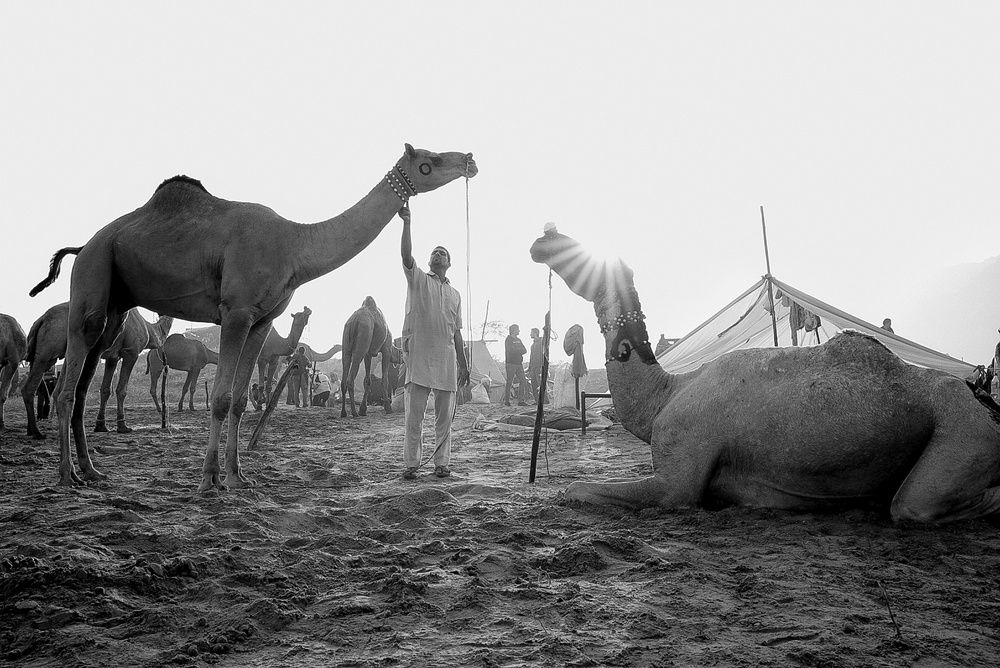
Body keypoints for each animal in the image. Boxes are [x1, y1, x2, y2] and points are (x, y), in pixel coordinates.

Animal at [30, 144, 476, 490]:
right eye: (431, 159)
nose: (470, 159)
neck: (293, 246)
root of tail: (82, 246)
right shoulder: (236, 312)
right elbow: (221, 398)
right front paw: (209, 479)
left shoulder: (261, 321)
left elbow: (243, 400)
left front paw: (238, 476)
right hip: (91, 279)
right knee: (67, 385)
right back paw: (67, 475)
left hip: (116, 308)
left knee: (84, 383)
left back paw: (92, 471)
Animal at [530, 227, 1000, 524]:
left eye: (575, 245)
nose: (542, 239)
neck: (665, 394)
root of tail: (983, 397)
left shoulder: (678, 472)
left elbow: (575, 490)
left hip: (965, 431)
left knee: (915, 506)